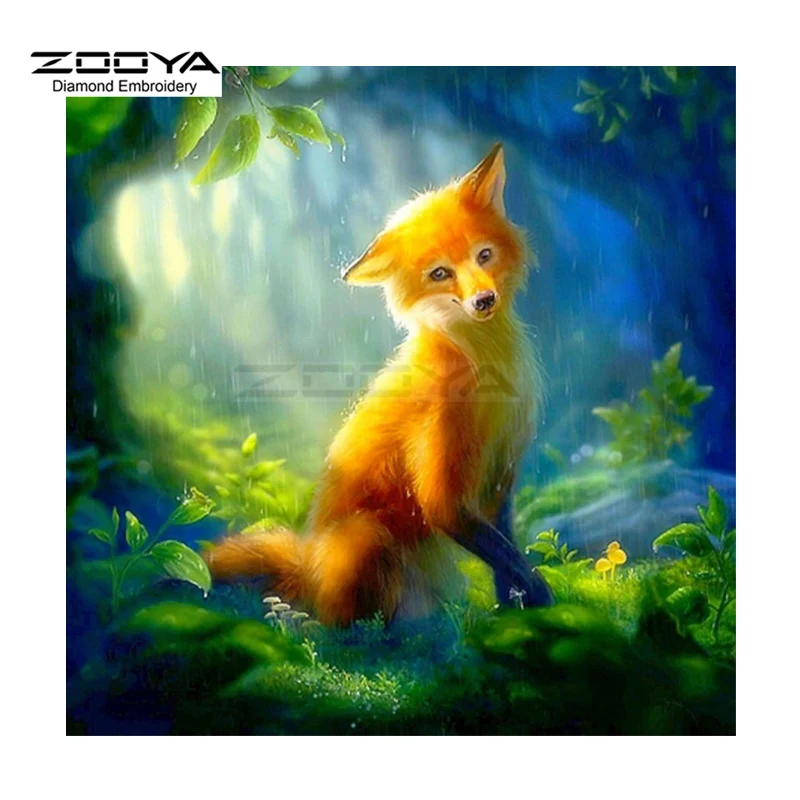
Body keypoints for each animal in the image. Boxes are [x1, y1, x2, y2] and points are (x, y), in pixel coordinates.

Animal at [204, 143, 552, 625]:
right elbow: (501, 551)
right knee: (343, 623)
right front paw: (540, 596)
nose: (484, 300)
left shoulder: (500, 472)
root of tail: (308, 568)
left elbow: (506, 555)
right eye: (440, 273)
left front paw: (515, 614)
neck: (485, 372)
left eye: (484, 255)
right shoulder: (443, 488)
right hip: (365, 536)